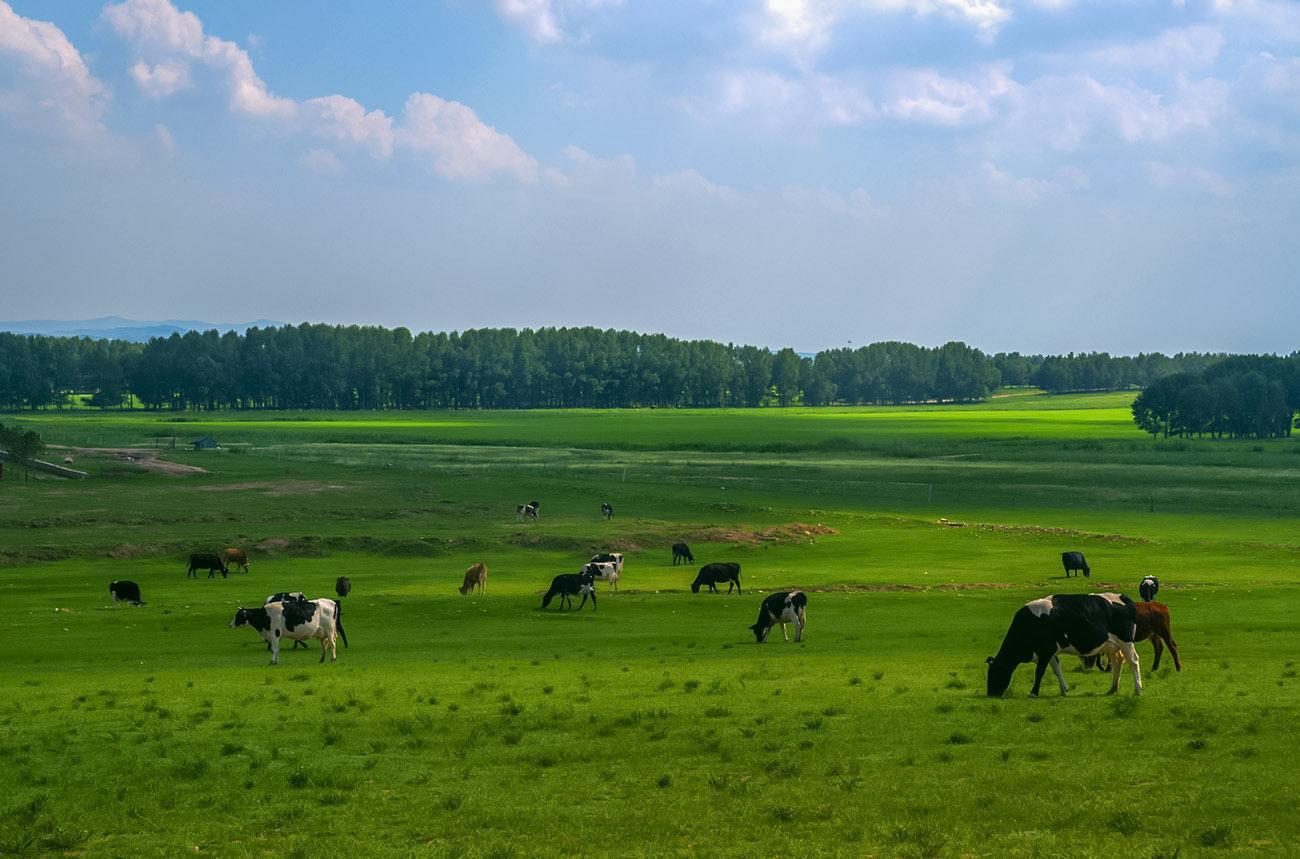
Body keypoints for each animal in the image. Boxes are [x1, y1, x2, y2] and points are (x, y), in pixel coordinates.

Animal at [987, 592, 1144, 701]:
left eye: (995, 673)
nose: (990, 694)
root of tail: (1124, 598)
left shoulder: (1046, 650)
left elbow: (1039, 672)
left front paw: (1033, 693)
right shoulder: (1049, 652)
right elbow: (1057, 669)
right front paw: (1064, 689)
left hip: (1125, 641)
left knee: (1134, 661)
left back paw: (1138, 689)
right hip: (1112, 645)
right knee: (1117, 662)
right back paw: (1112, 689)